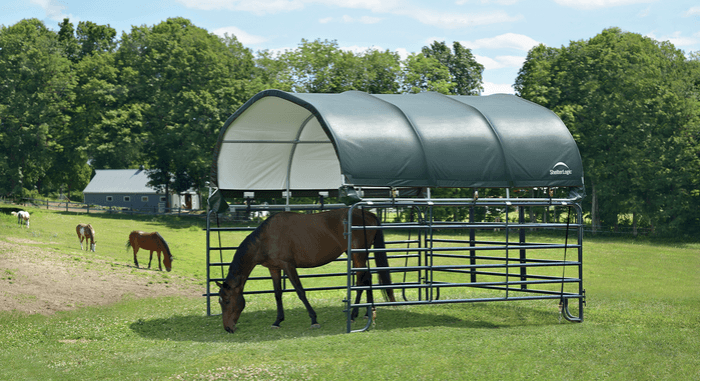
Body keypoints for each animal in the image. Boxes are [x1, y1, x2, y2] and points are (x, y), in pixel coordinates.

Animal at [216, 208, 396, 332]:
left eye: (227, 301)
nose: (228, 328)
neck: (265, 238)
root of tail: (368, 214)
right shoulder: (274, 269)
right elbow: (277, 294)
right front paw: (277, 321)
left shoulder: (288, 266)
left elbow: (300, 291)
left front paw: (314, 320)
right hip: (358, 255)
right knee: (367, 278)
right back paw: (367, 311)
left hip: (358, 255)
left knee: (361, 280)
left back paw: (353, 315)